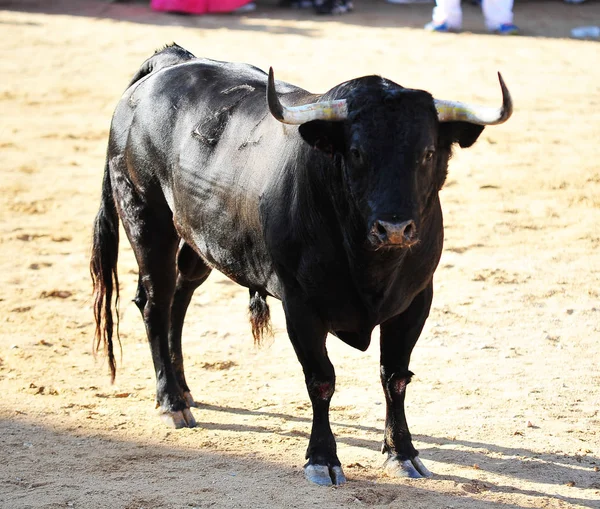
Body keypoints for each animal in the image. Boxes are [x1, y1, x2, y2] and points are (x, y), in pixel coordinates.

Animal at [89, 43, 510, 484]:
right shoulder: (301, 305)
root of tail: (173, 61)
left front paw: (402, 452)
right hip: (145, 218)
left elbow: (395, 377)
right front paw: (322, 458)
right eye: (356, 153)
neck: (370, 266)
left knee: (179, 300)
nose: (394, 228)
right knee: (155, 302)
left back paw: (185, 390)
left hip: (198, 238)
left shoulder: (416, 300)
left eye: (427, 153)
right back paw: (171, 402)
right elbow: (321, 380)